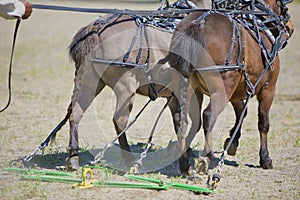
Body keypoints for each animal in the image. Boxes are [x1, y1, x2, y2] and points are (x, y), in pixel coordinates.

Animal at [63, 0, 212, 173]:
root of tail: (96, 29)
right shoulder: (193, 91)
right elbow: (193, 123)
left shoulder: (174, 95)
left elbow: (179, 122)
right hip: (125, 87)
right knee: (119, 120)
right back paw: (129, 159)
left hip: (89, 82)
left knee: (75, 113)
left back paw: (73, 157)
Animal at [170, 0, 294, 173]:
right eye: (284, 5)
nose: (290, 26)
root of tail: (196, 24)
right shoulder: (268, 89)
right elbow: (263, 123)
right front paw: (265, 159)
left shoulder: (237, 92)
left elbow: (242, 112)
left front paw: (232, 143)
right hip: (223, 88)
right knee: (208, 115)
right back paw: (206, 156)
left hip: (188, 86)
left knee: (180, 119)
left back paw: (184, 163)